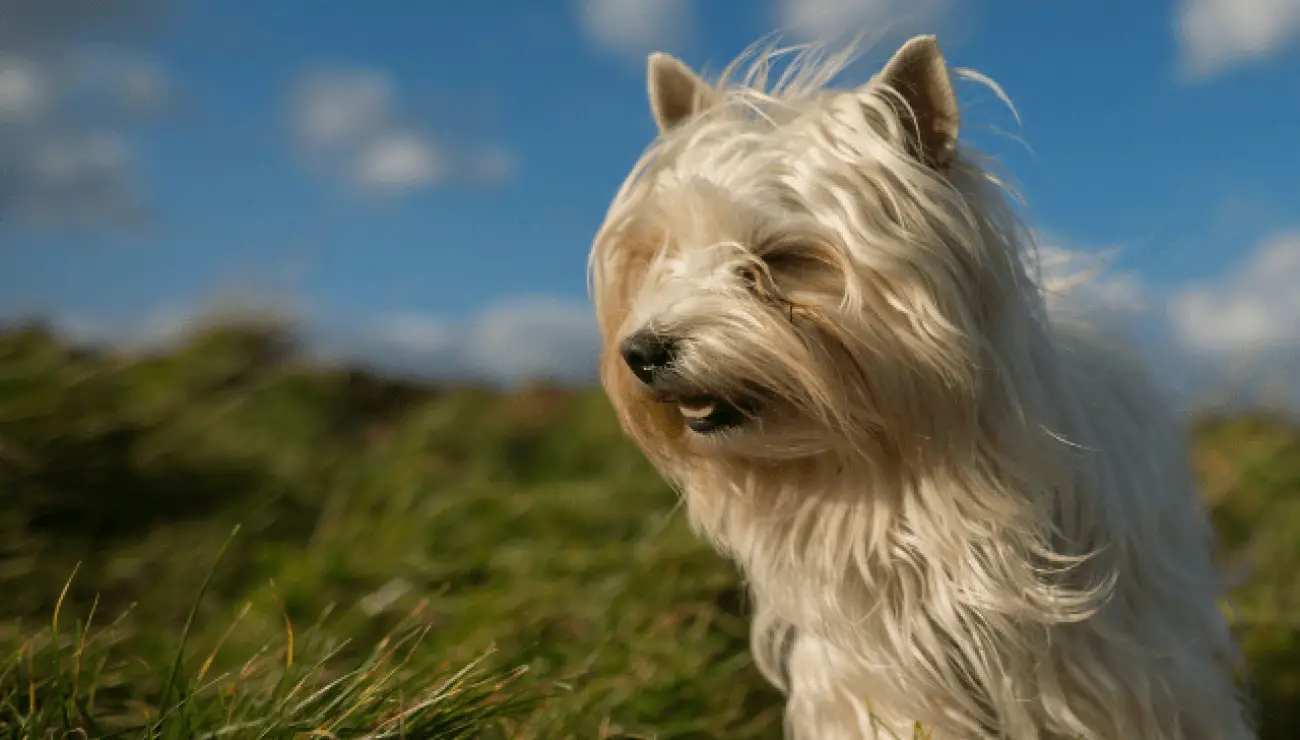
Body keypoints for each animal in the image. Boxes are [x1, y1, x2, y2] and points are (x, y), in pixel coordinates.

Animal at [592, 31, 1258, 733]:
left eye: (780, 259)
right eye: (659, 257)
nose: (641, 352)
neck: (888, 470)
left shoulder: (1108, 666)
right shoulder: (869, 674)